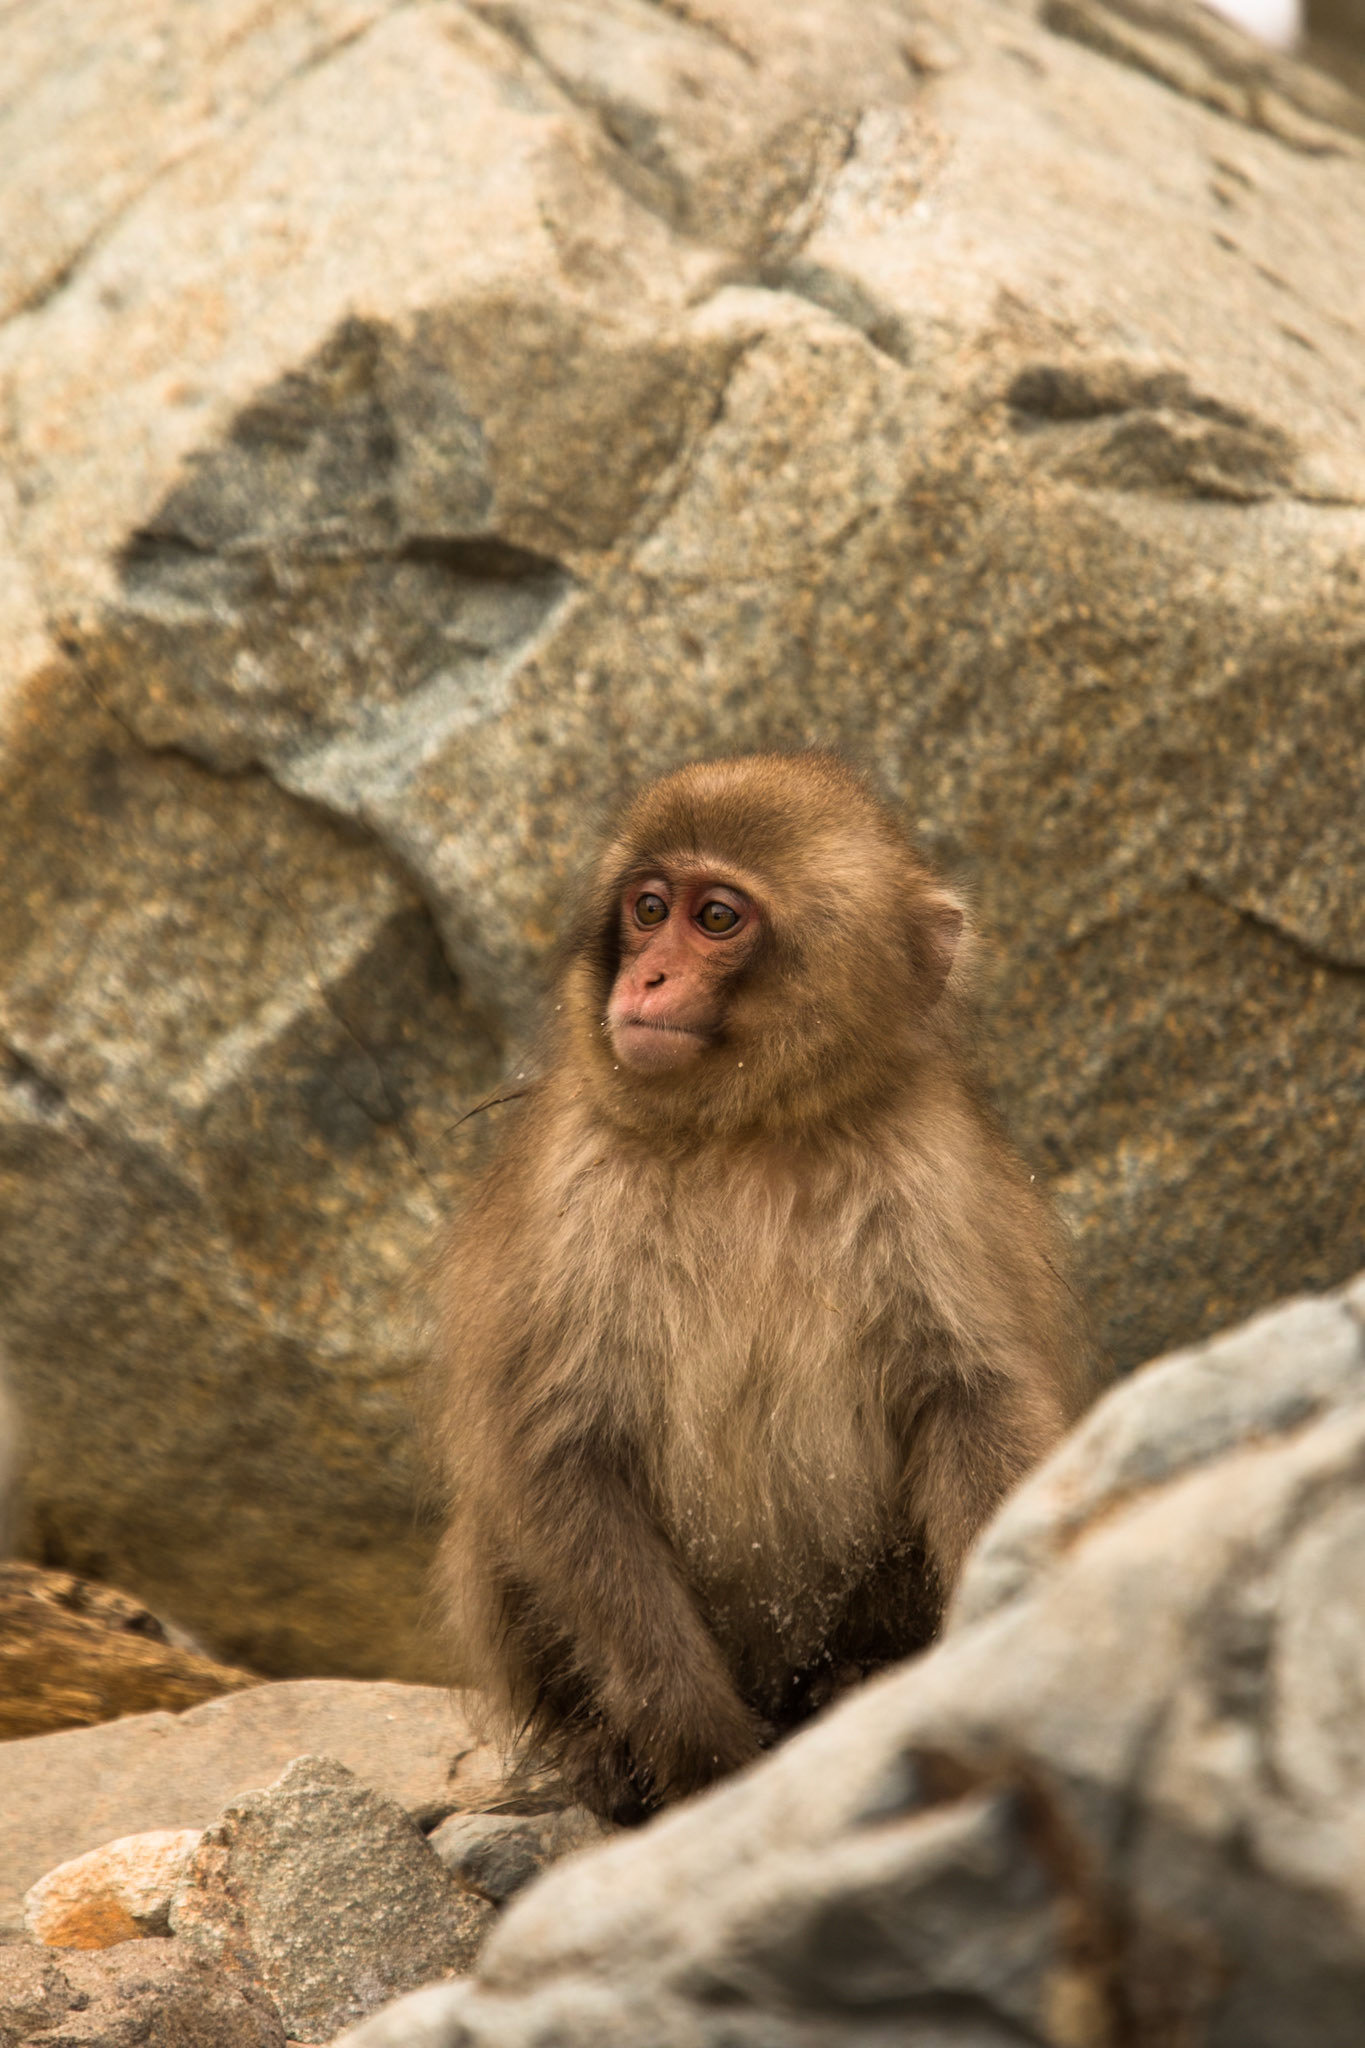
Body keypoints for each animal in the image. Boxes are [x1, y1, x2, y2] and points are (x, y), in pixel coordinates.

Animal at [427, 752, 1098, 1823]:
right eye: (648, 908)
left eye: (715, 919)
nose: (647, 977)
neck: (748, 1133)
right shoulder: (579, 1189)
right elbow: (558, 1446)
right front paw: (695, 1744)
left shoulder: (924, 1170)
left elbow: (971, 1401)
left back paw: (855, 1679)